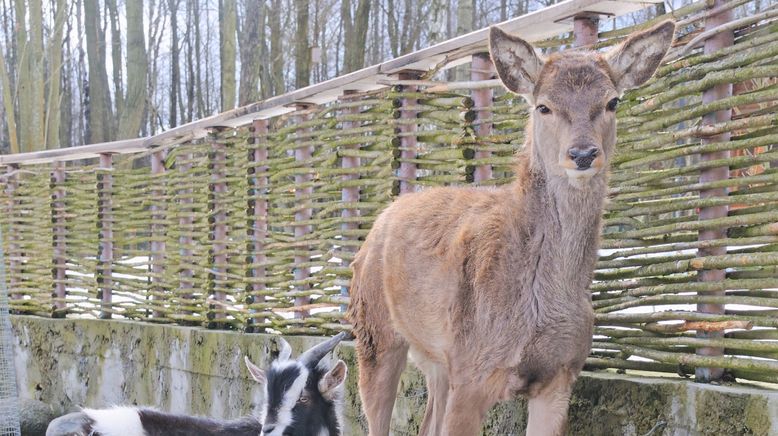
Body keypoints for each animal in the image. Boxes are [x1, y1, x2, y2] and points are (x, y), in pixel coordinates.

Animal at [346, 20, 672, 436]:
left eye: (613, 101)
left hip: (437, 357)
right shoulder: (473, 369)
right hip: (373, 329)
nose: (583, 153)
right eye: (543, 105)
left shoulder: (562, 372)